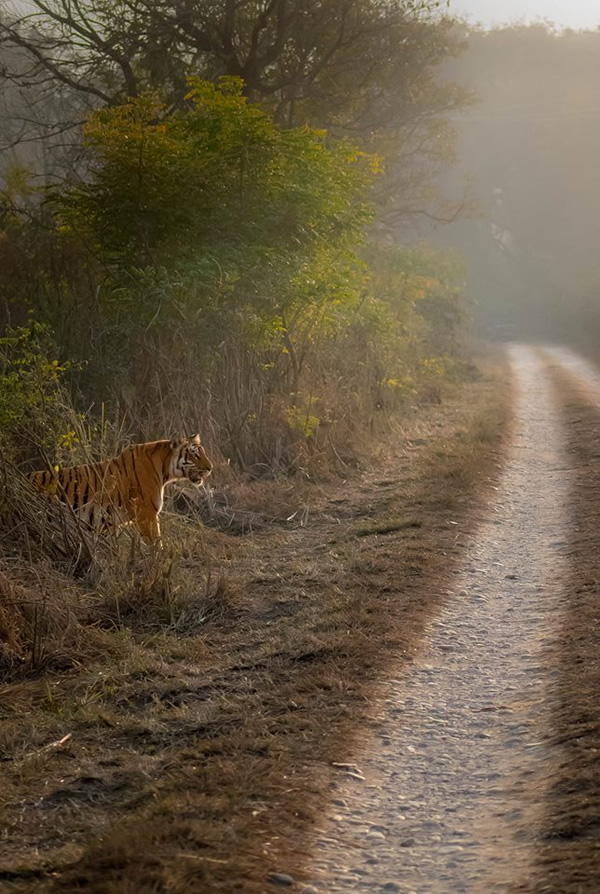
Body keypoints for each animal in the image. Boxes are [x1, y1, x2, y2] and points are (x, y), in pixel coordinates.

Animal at [29, 436, 216, 544]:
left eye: (202, 453)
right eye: (194, 454)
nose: (210, 468)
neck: (165, 468)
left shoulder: (108, 522)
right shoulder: (147, 513)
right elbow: (156, 546)